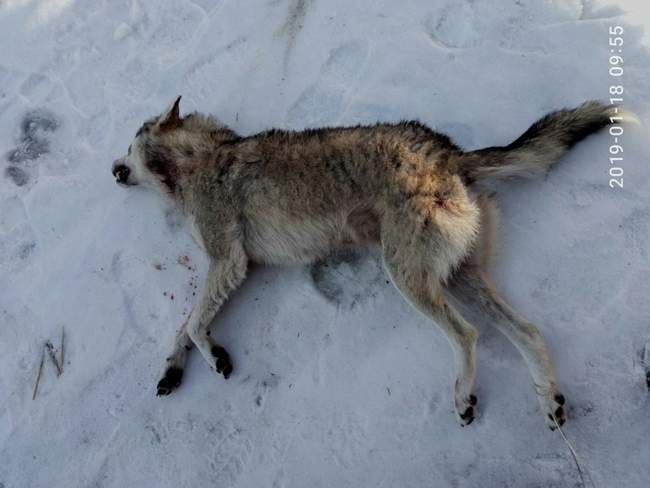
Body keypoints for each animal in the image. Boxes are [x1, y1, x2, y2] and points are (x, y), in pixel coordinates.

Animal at [112, 98, 628, 428]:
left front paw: (214, 356)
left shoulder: (228, 261)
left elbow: (193, 323)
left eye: (130, 144)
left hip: (407, 276)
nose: (113, 169)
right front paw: (172, 369)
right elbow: (183, 327)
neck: (196, 160)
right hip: (458, 275)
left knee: (468, 334)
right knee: (528, 332)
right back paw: (550, 403)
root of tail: (451, 154)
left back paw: (464, 397)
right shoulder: (232, 268)